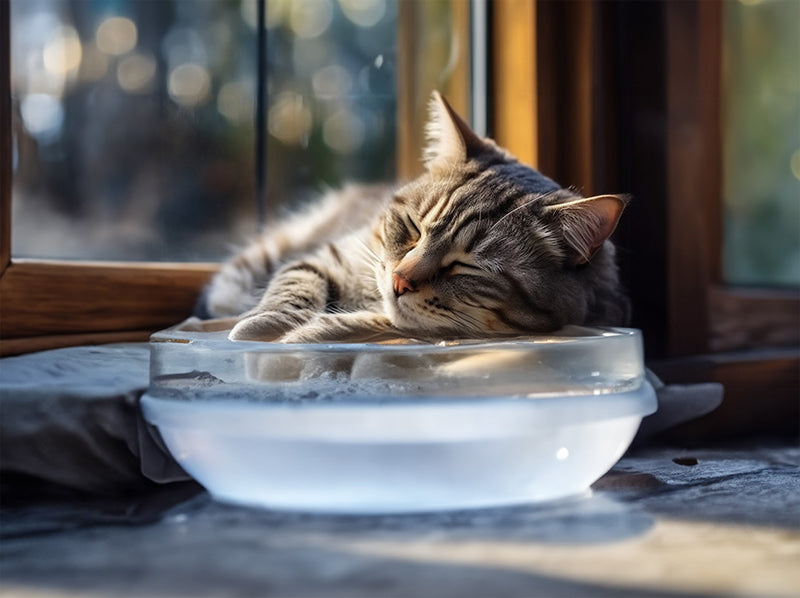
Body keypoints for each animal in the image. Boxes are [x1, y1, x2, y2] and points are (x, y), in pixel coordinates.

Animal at [195, 91, 632, 344]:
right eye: (413, 228)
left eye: (468, 266)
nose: (400, 281)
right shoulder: (335, 254)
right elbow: (295, 283)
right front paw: (265, 323)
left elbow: (382, 323)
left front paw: (313, 332)